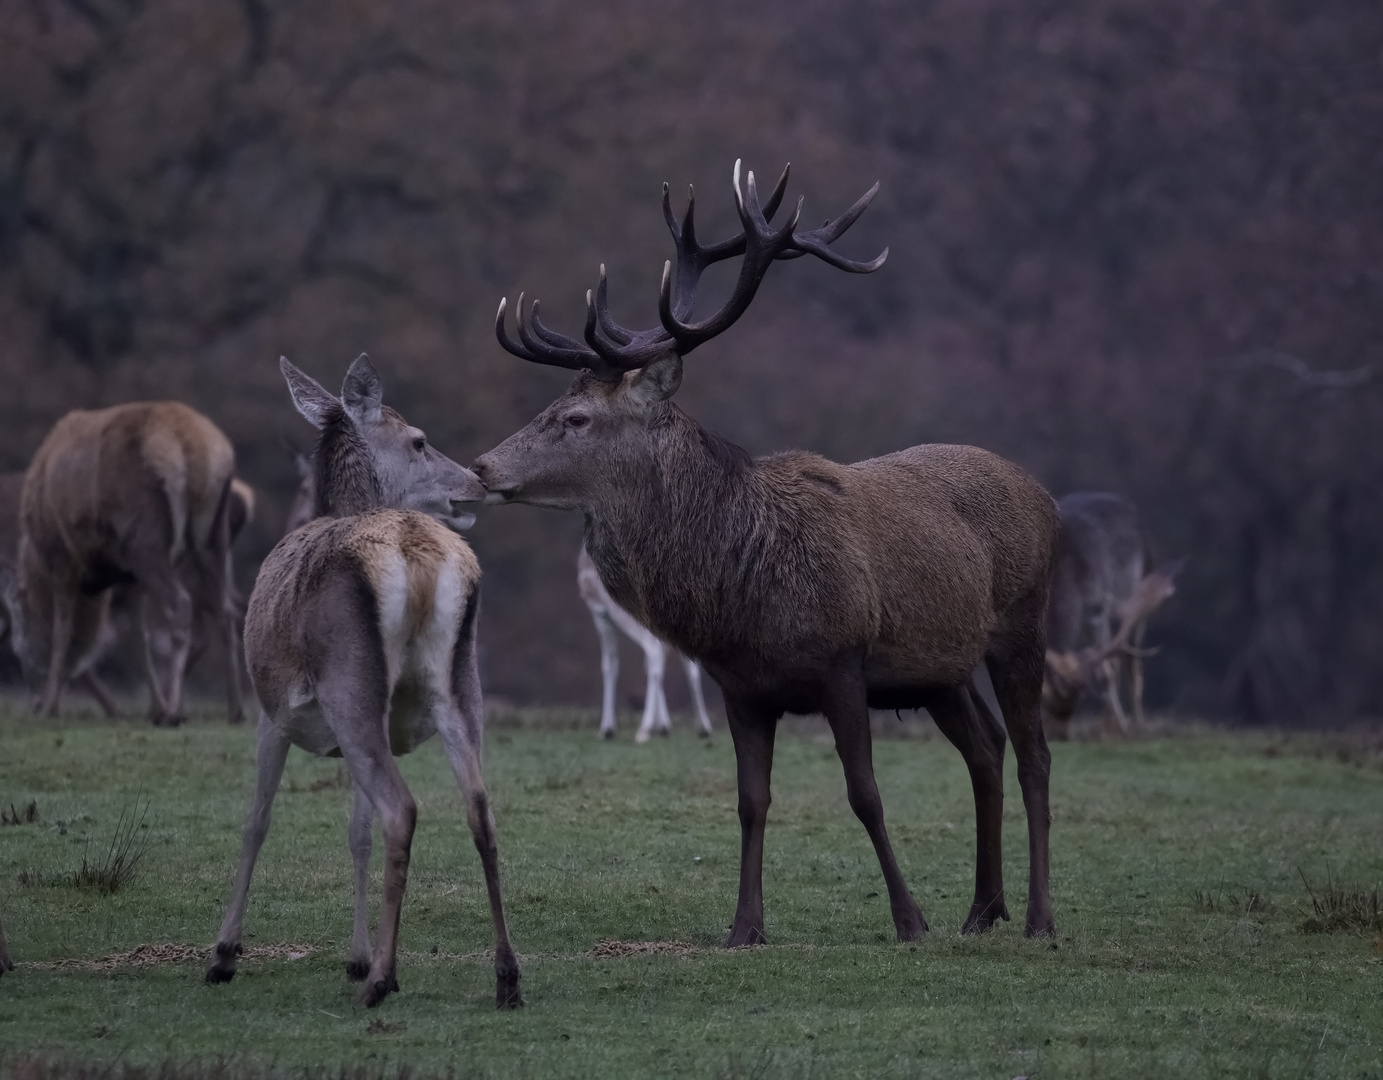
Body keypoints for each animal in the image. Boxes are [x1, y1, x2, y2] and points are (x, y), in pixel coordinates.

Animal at [14, 401, 246, 724]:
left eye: (20, 647)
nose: (34, 702)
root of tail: (193, 446)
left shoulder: (61, 560)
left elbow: (63, 632)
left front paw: (51, 707)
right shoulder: (129, 577)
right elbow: (139, 636)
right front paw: (153, 707)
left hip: (146, 540)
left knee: (181, 604)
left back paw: (175, 710)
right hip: (213, 538)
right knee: (225, 610)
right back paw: (234, 709)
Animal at [206, 356, 522, 1012]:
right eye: (420, 441)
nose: (477, 481)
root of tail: (418, 556)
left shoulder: (270, 711)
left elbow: (255, 821)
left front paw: (223, 955)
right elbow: (356, 831)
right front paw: (352, 954)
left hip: (349, 683)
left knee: (401, 809)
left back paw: (382, 980)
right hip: (460, 687)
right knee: (480, 809)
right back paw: (505, 976)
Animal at [580, 544, 719, 735]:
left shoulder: (599, 612)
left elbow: (609, 665)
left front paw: (607, 728)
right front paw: (663, 724)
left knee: (653, 652)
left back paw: (644, 728)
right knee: (685, 663)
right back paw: (702, 727)